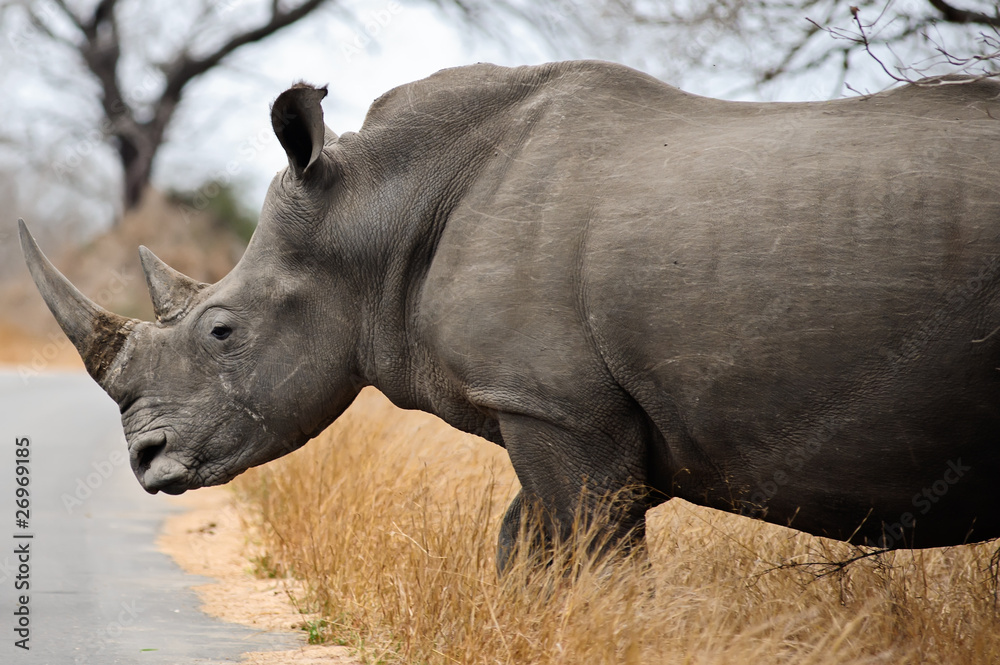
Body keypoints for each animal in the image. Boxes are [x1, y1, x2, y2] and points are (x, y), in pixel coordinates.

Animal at [19, 61, 1000, 569]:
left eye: (221, 330)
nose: (146, 461)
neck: (373, 209)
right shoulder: (568, 411)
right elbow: (524, 550)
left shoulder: (557, 405)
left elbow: (589, 564)